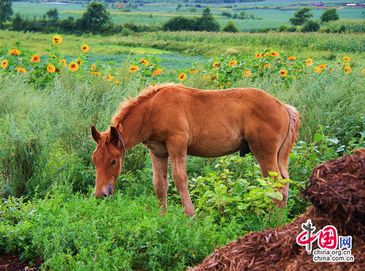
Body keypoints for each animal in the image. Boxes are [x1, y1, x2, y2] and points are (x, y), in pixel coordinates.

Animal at [90, 84, 298, 217]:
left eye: (113, 161)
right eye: (94, 160)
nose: (100, 194)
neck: (152, 111)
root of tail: (284, 107)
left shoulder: (177, 146)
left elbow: (180, 179)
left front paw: (190, 215)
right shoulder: (158, 152)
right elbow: (159, 184)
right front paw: (162, 216)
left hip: (264, 153)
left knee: (276, 184)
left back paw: (269, 220)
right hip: (279, 156)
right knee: (284, 183)